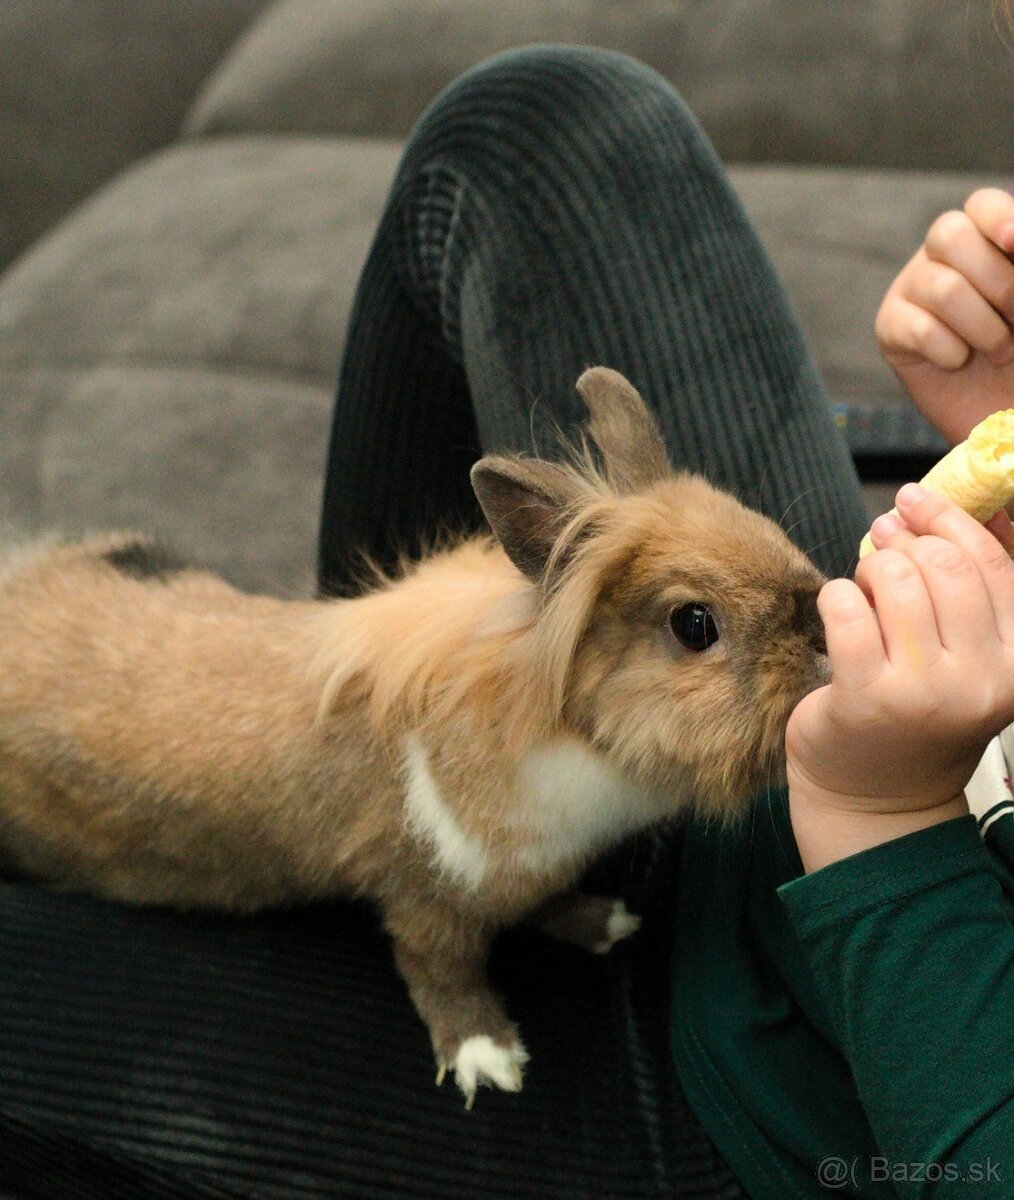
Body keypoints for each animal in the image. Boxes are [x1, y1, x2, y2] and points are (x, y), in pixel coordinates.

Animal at [0, 367, 825, 1104]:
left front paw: (602, 922)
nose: (822, 628)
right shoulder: (423, 891)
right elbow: (441, 970)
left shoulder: (539, 866)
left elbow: (549, 900)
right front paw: (488, 1059)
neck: (570, 737)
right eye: (695, 625)